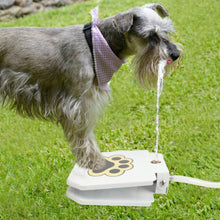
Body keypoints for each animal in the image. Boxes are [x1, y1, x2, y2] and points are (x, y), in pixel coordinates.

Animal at [0, 3, 182, 168]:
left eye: (166, 31)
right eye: (150, 35)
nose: (175, 54)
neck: (95, 45)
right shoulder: (77, 105)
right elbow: (84, 136)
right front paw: (95, 162)